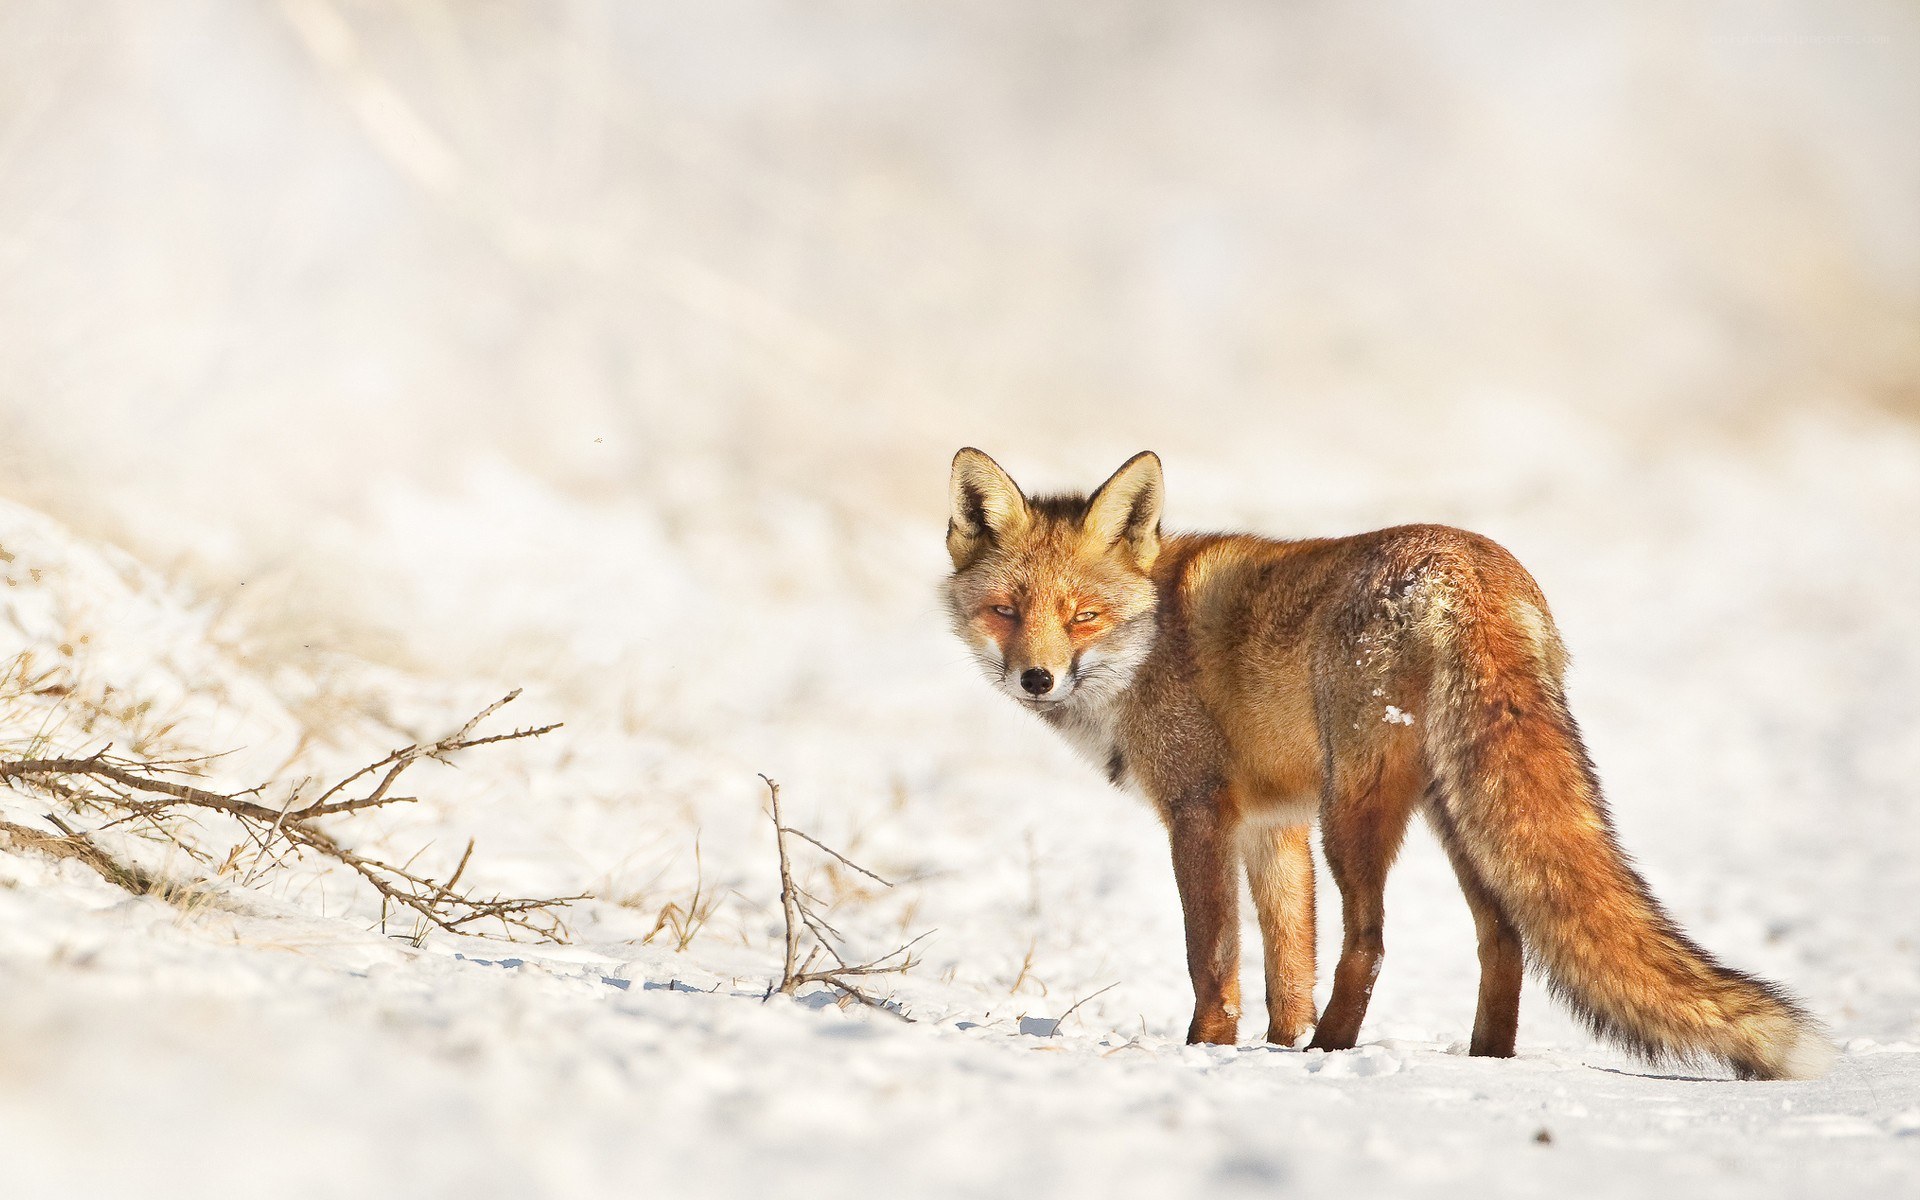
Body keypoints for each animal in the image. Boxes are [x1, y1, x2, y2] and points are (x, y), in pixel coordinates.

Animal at [943, 447, 1834, 1081]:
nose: (1036, 678)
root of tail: (1472, 567)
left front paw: (1211, 1050)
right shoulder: (1273, 827)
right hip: (1455, 813)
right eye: (1006, 611)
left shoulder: (1201, 813)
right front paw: (1274, 1046)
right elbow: (1286, 964)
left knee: (1370, 941)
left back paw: (1333, 1053)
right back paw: (1482, 1061)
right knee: (1504, 937)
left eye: (1082, 617)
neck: (1152, 640)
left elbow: (1215, 960)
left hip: (1356, 810)